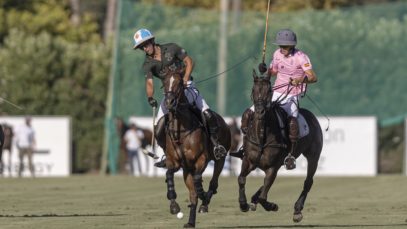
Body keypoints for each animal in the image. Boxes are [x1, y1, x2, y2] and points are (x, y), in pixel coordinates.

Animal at [159, 69, 231, 227]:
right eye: (164, 82)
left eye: (180, 82)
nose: (169, 102)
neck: (181, 130)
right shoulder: (176, 163)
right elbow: (169, 173)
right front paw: (174, 204)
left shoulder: (201, 159)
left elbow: (199, 180)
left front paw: (203, 196)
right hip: (187, 171)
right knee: (193, 195)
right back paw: (191, 222)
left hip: (220, 159)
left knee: (213, 183)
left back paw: (204, 203)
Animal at [239, 70, 322, 223]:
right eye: (253, 90)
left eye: (269, 90)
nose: (260, 111)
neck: (262, 136)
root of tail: (312, 116)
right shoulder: (248, 160)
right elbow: (241, 179)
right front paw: (243, 204)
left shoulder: (272, 167)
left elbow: (264, 196)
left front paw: (272, 206)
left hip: (313, 156)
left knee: (308, 182)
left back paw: (297, 210)